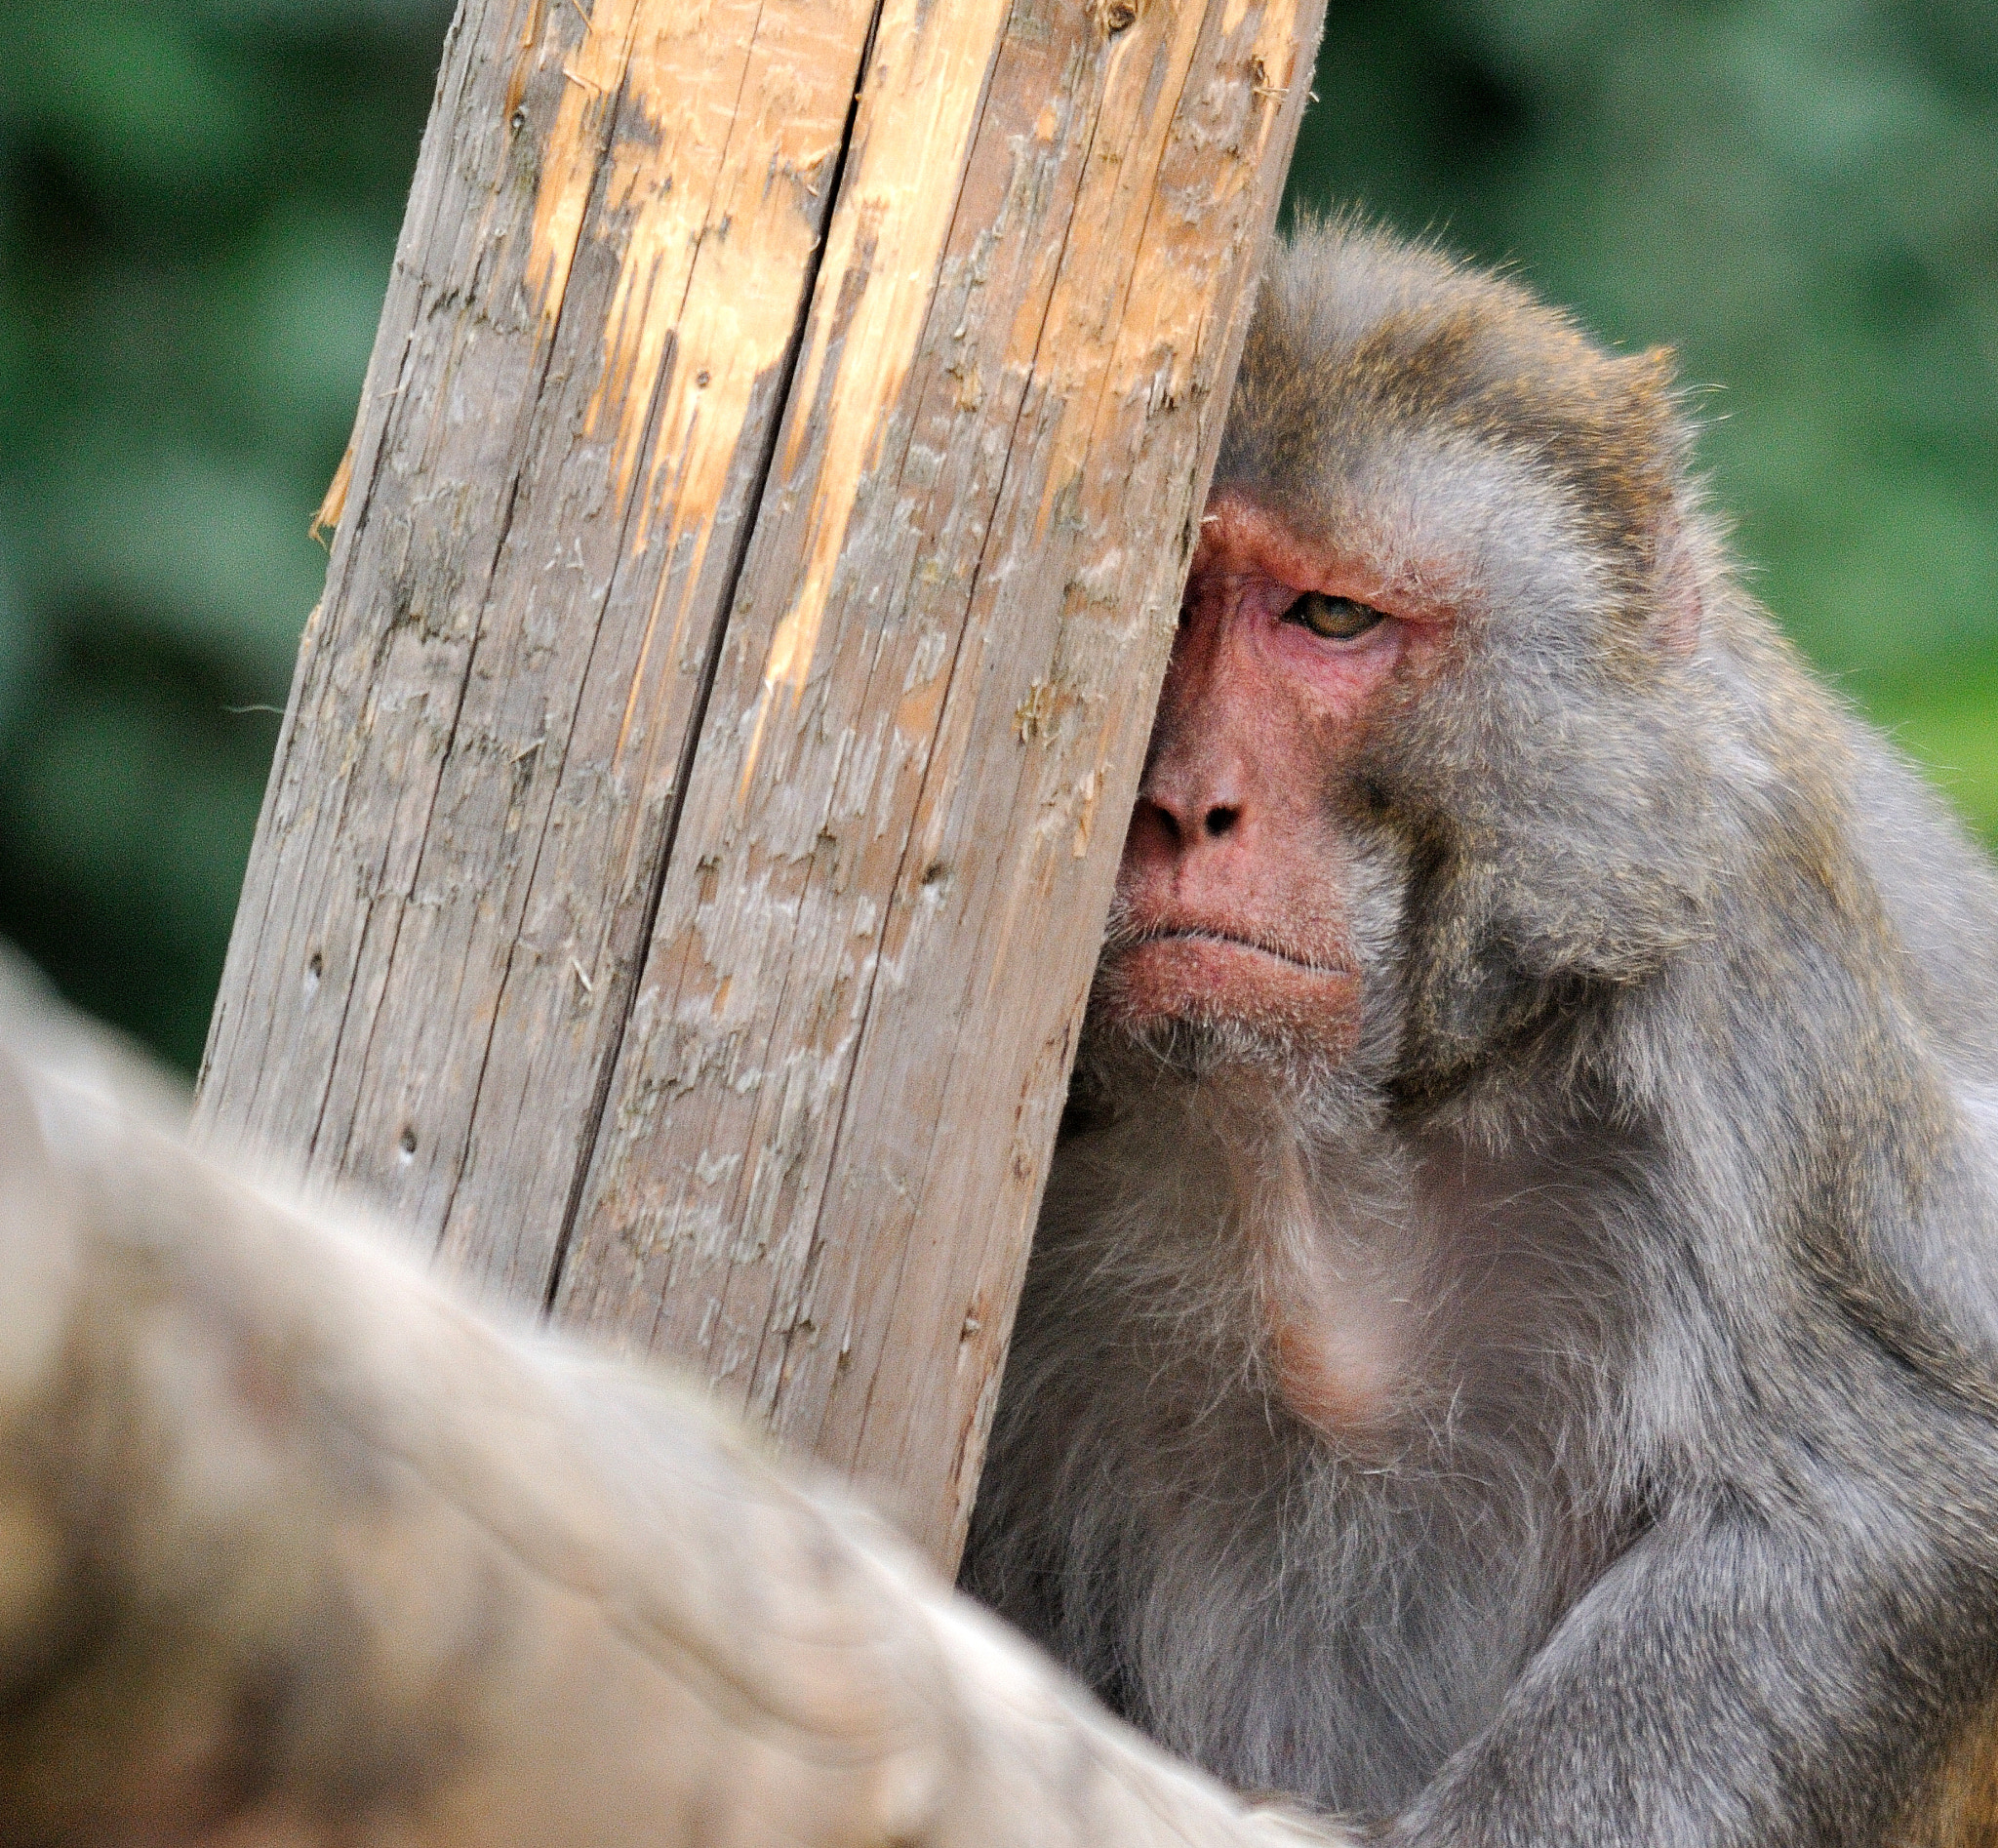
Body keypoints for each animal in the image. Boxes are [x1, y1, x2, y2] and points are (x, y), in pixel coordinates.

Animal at [959, 218, 1998, 1848]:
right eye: (1175, 600)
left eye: (1330, 618)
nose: (1182, 805)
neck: (1320, 1129)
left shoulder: (1750, 943)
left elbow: (1890, 1487)